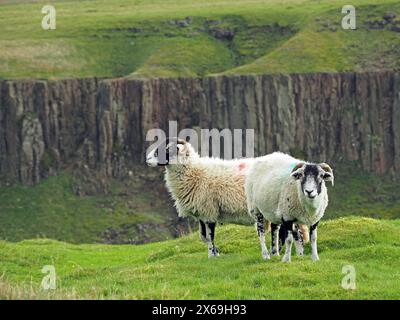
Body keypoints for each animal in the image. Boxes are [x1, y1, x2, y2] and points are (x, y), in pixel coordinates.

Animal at [145, 138, 308, 258]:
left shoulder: (208, 210)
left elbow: (210, 236)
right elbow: (203, 236)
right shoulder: (201, 213)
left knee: (292, 232)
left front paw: (212, 255)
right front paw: (216, 252)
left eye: (165, 149)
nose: (147, 160)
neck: (194, 172)